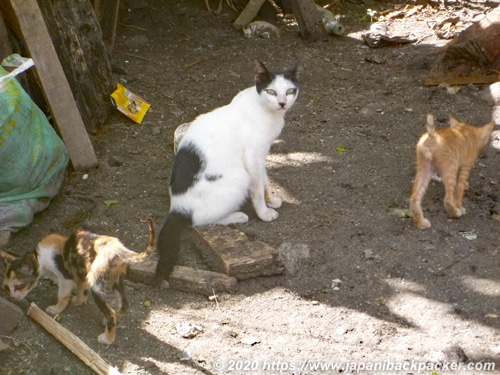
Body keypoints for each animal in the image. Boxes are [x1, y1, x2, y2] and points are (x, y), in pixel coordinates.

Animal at [1, 219, 154, 346]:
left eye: (20, 286)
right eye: (7, 288)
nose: (12, 297)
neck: (40, 258)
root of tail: (115, 246)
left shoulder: (66, 276)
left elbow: (63, 296)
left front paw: (56, 310)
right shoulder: (82, 272)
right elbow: (81, 288)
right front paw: (79, 301)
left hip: (96, 285)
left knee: (110, 311)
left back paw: (107, 339)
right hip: (113, 279)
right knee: (123, 305)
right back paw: (113, 321)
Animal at [154, 60, 298, 286]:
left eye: (290, 91)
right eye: (271, 91)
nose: (283, 103)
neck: (263, 109)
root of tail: (177, 207)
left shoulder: (262, 154)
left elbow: (265, 179)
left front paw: (272, 200)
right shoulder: (252, 156)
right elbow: (257, 189)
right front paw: (264, 212)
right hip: (240, 177)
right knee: (198, 221)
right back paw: (237, 216)